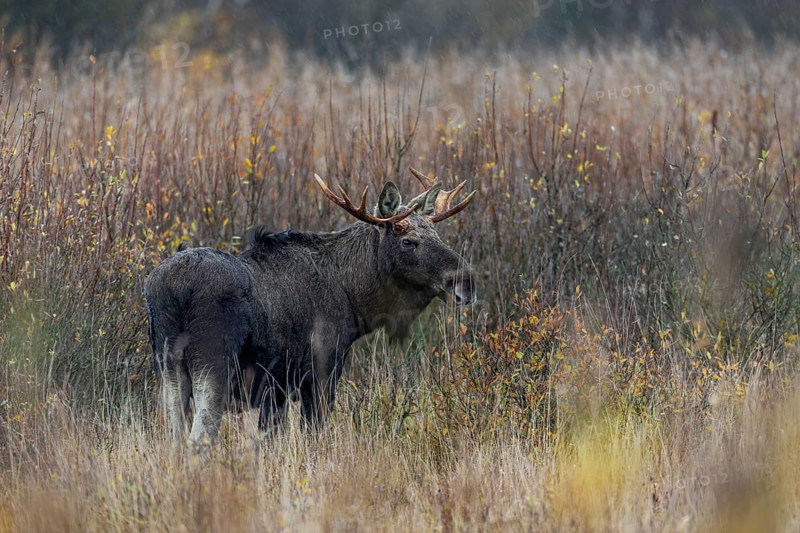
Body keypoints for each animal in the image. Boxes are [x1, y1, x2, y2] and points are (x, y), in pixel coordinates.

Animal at [144, 168, 475, 444]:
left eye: (437, 234)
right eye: (408, 241)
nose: (466, 281)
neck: (355, 299)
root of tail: (171, 288)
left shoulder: (274, 391)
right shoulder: (320, 371)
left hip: (169, 368)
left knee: (174, 440)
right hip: (212, 365)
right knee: (199, 438)